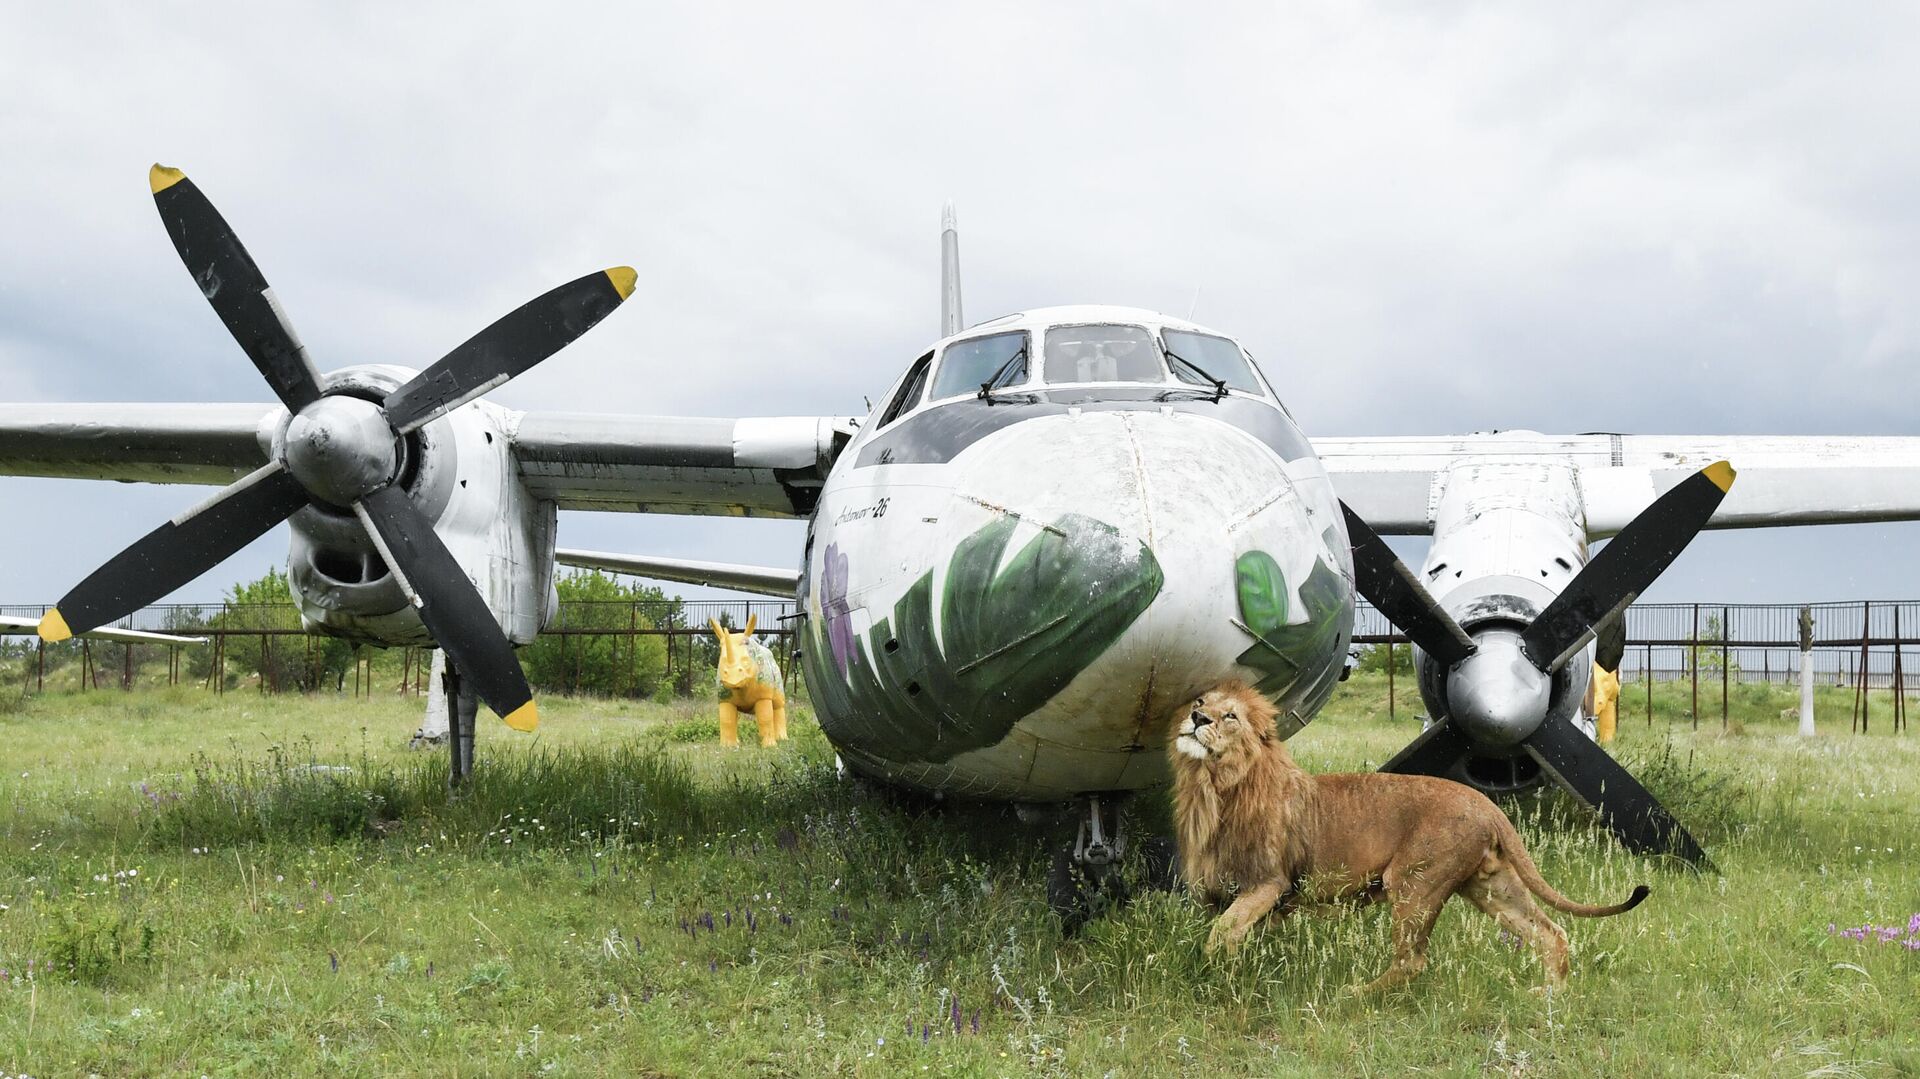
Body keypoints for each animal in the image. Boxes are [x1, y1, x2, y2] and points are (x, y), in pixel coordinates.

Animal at [1167, 679, 1651, 990]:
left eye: (1230, 715)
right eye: (1200, 699)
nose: (1197, 716)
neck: (1212, 787)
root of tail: (1488, 805)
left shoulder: (1268, 882)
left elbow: (1220, 934)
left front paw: (1221, 975)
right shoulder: (1220, 891)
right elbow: (1230, 931)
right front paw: (1240, 969)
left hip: (1413, 882)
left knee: (1413, 960)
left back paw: (1356, 995)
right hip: (1492, 885)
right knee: (1551, 933)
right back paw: (1550, 996)